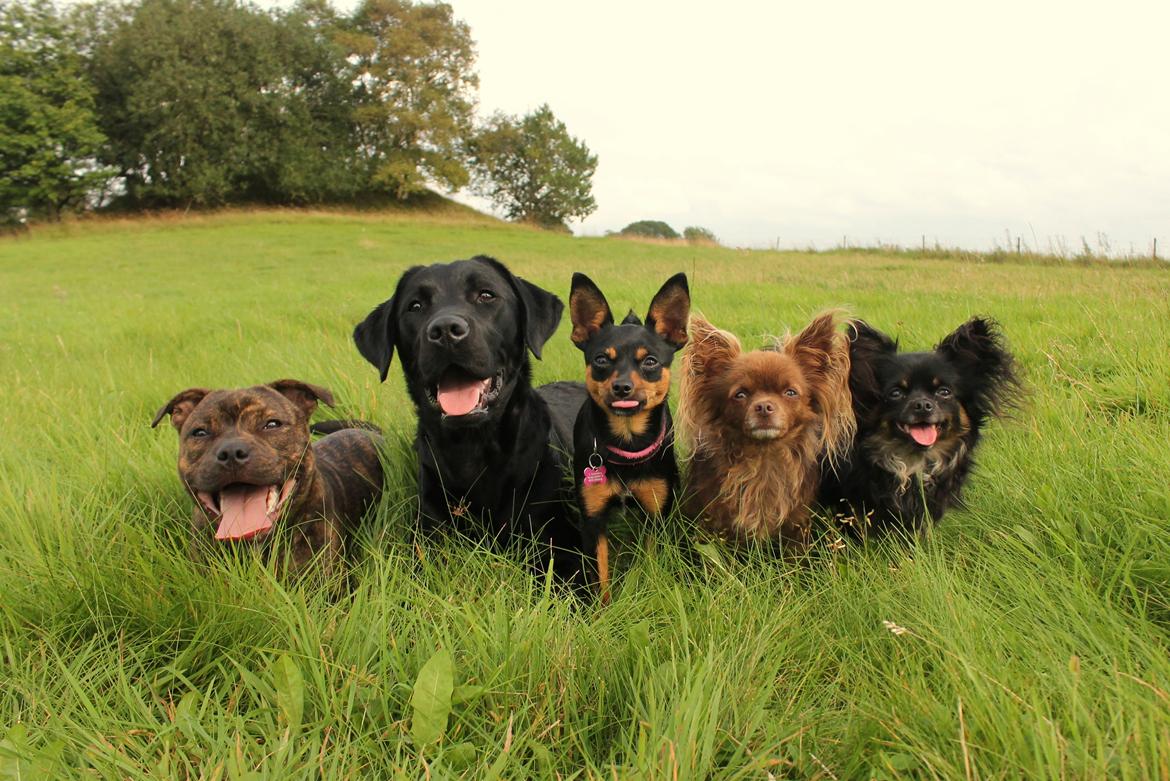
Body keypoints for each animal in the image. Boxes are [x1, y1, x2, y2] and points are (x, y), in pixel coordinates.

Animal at [563, 271, 683, 603]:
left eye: (651, 361)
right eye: (602, 360)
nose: (622, 387)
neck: (627, 441)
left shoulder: (656, 514)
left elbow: (652, 563)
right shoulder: (592, 520)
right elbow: (599, 576)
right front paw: (601, 611)